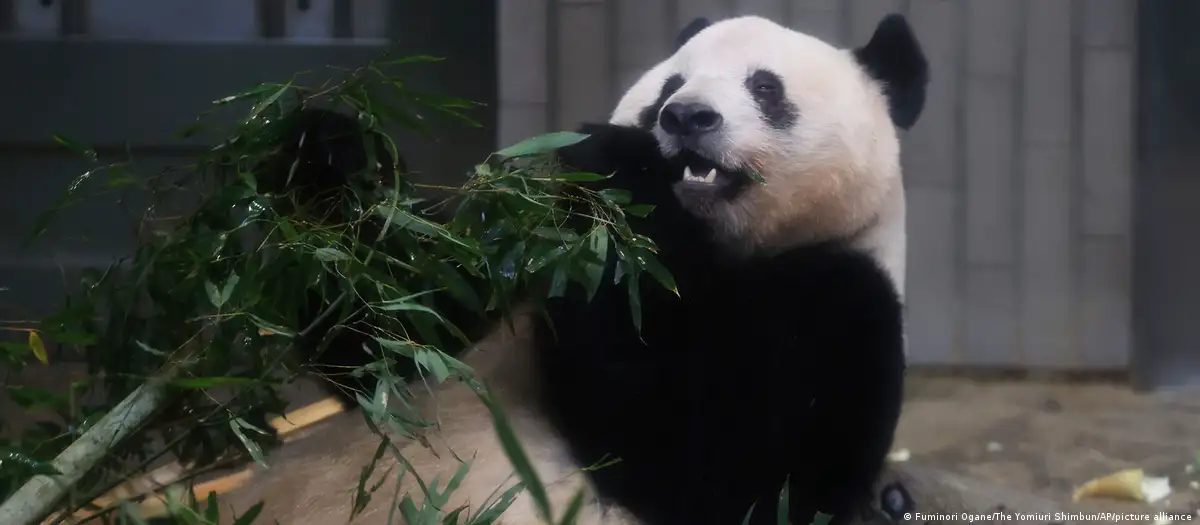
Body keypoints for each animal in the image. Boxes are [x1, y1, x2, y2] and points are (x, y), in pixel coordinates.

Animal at [216, 11, 926, 525]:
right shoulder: (521, 275)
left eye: (765, 87)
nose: (685, 117)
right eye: (670, 87)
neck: (714, 249)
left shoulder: (839, 304)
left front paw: (620, 169)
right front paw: (325, 142)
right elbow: (396, 330)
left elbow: (719, 476)